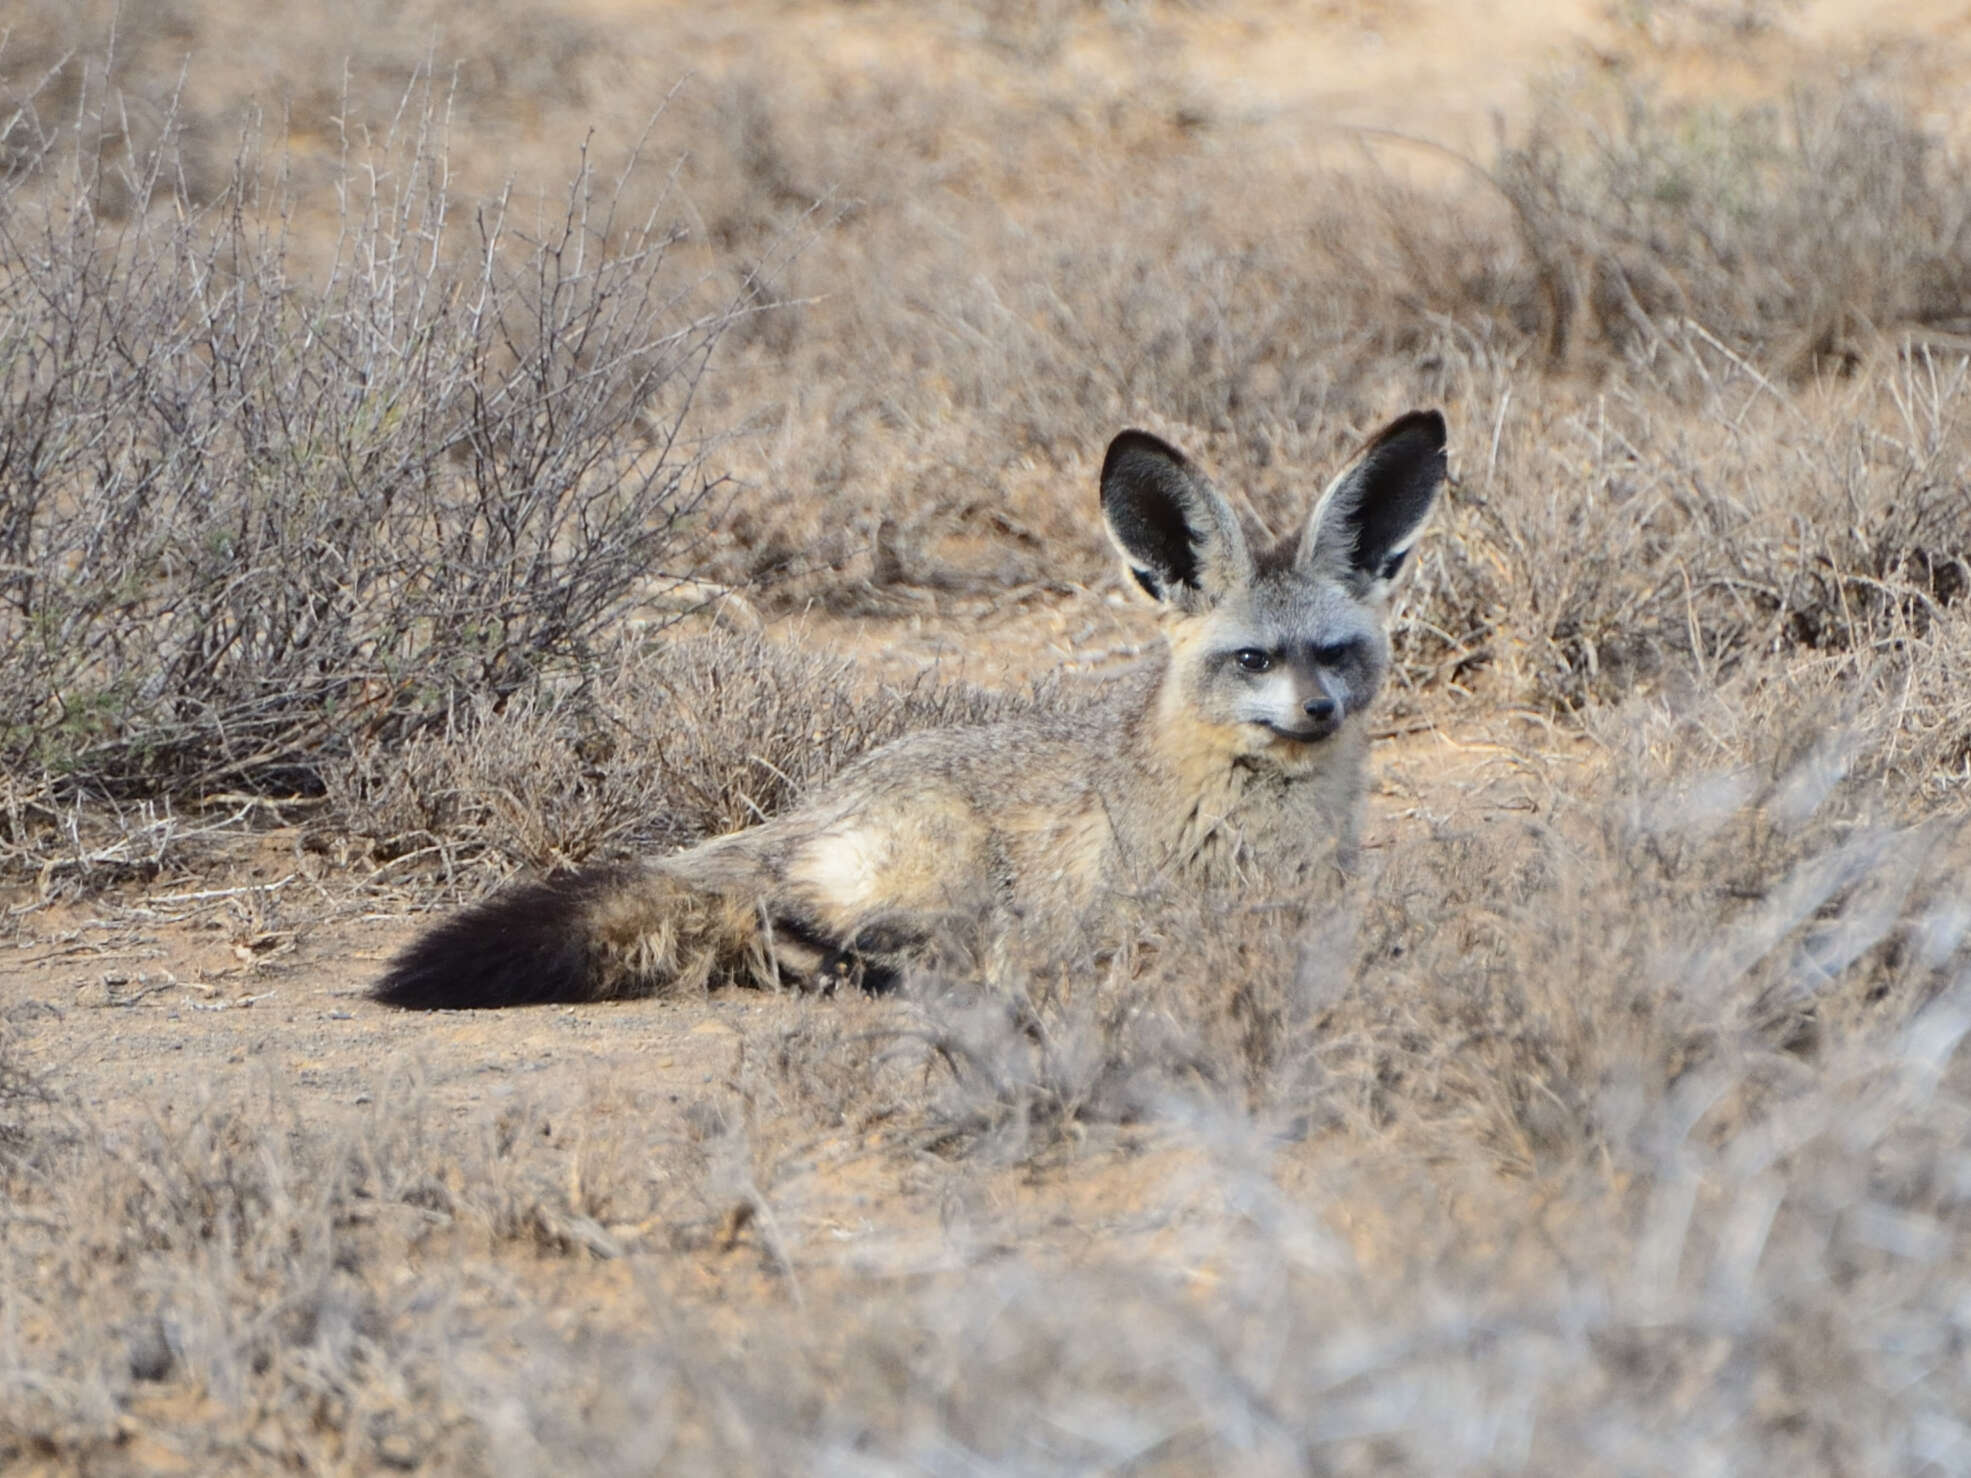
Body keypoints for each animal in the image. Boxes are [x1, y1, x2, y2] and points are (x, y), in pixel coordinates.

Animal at [372, 411, 1450, 1016]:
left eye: (1335, 654)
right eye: (1253, 658)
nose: (1316, 711)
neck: (1261, 821)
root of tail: (815, 804)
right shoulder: (1125, 906)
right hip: (950, 873)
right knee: (791, 922)